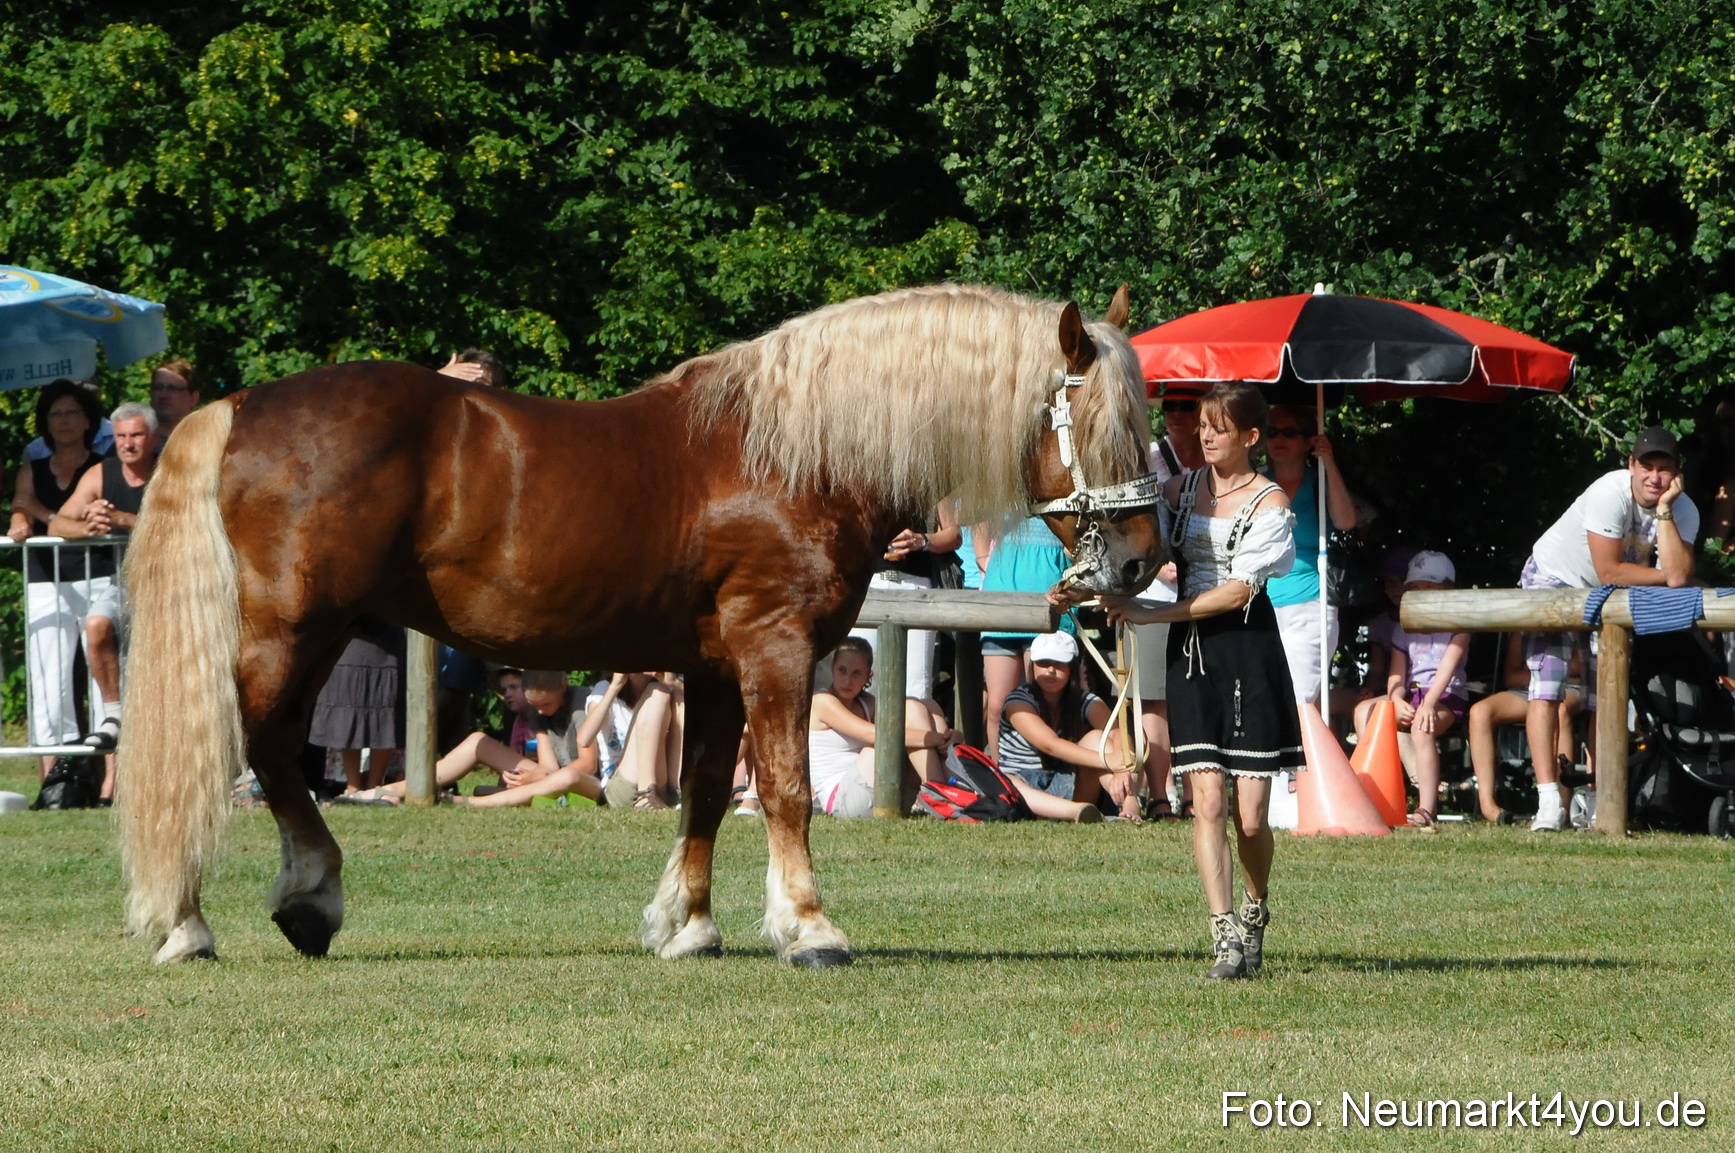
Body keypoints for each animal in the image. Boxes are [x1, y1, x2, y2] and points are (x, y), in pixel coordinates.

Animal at [116, 282, 1164, 967]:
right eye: (1104, 427)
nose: (1141, 561)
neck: (799, 452)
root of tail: (238, 405)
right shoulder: (775, 650)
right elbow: (782, 787)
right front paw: (809, 927)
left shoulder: (713, 666)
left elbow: (703, 787)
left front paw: (689, 924)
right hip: (298, 627)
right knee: (258, 745)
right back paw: (260, 909)